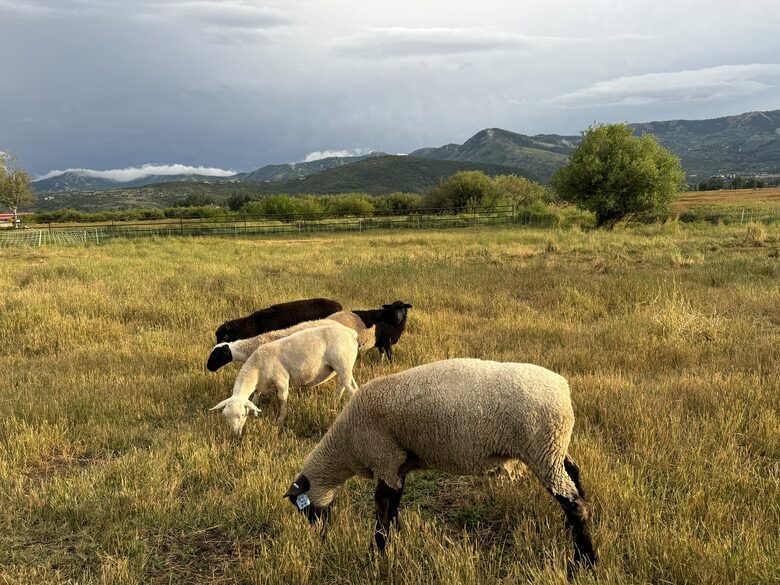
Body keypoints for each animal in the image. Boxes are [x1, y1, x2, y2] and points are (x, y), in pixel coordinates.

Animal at [210, 323, 360, 435]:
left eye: (242, 415)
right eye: (225, 416)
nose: (234, 436)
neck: (257, 365)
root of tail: (352, 333)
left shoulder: (281, 380)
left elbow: (282, 399)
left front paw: (280, 421)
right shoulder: (261, 384)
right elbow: (255, 397)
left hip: (342, 363)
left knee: (351, 391)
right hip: (346, 367)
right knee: (346, 386)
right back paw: (333, 406)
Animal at [283, 358, 597, 572]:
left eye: (304, 508)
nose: (321, 535)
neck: (346, 444)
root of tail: (563, 389)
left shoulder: (384, 458)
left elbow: (382, 511)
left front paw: (376, 554)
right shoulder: (397, 465)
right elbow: (393, 507)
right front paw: (394, 542)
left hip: (542, 449)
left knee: (575, 504)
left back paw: (584, 563)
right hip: (554, 448)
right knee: (574, 474)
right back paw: (573, 536)